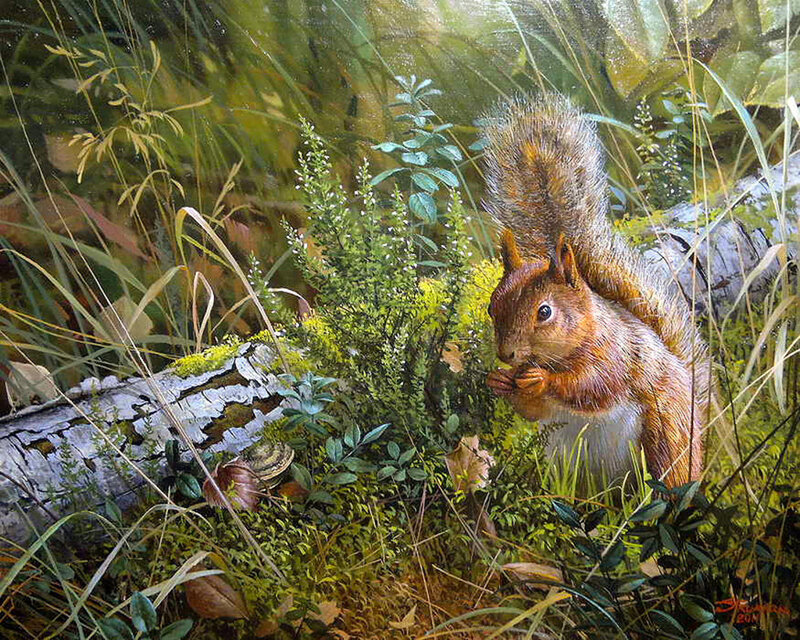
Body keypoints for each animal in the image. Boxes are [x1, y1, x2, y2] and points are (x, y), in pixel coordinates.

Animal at [482, 94, 712, 489]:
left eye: (545, 312)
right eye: (491, 308)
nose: (506, 355)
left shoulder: (617, 355)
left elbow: (592, 386)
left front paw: (543, 379)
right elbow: (533, 410)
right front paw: (499, 381)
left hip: (666, 438)